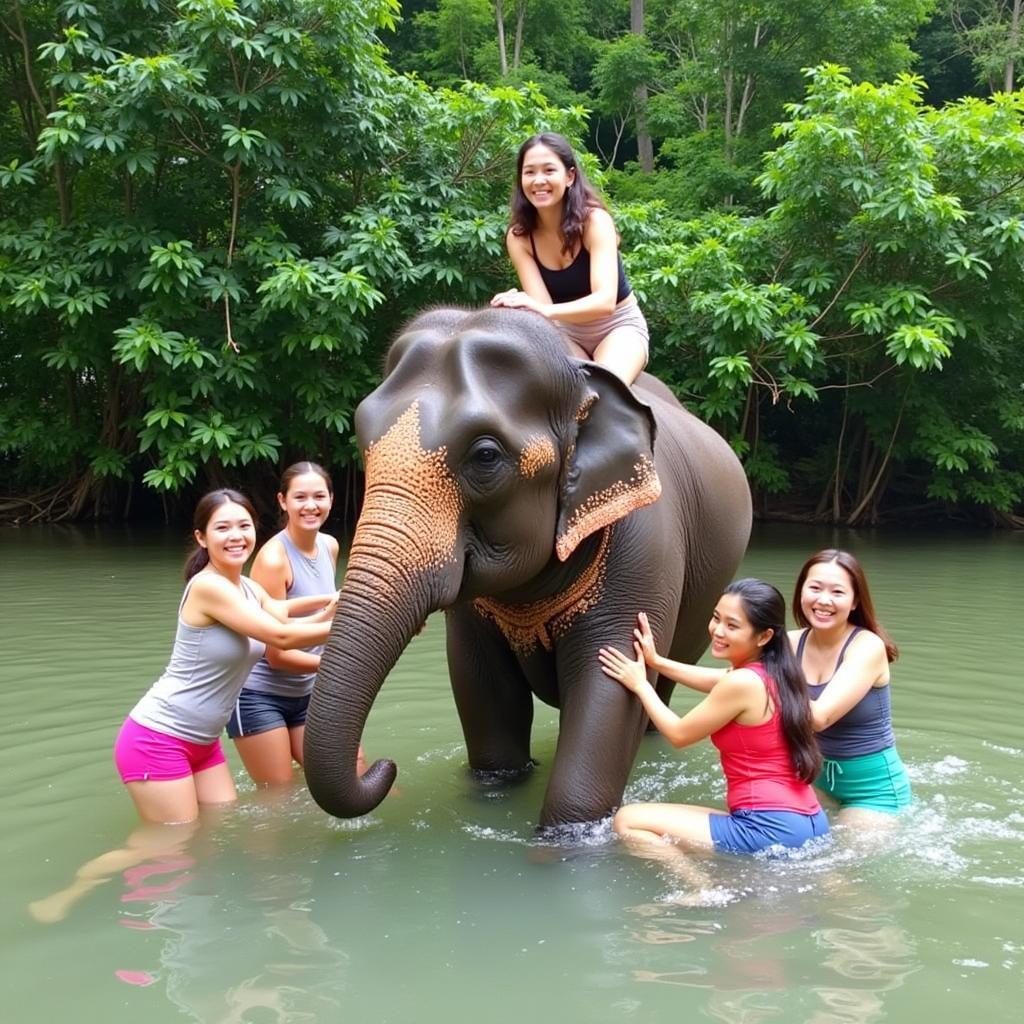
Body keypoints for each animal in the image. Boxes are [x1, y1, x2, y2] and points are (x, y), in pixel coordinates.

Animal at [303, 303, 753, 823]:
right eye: (363, 439)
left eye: (485, 456)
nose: (385, 765)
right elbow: (482, 691)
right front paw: (498, 789)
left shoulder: (645, 547)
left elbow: (612, 683)